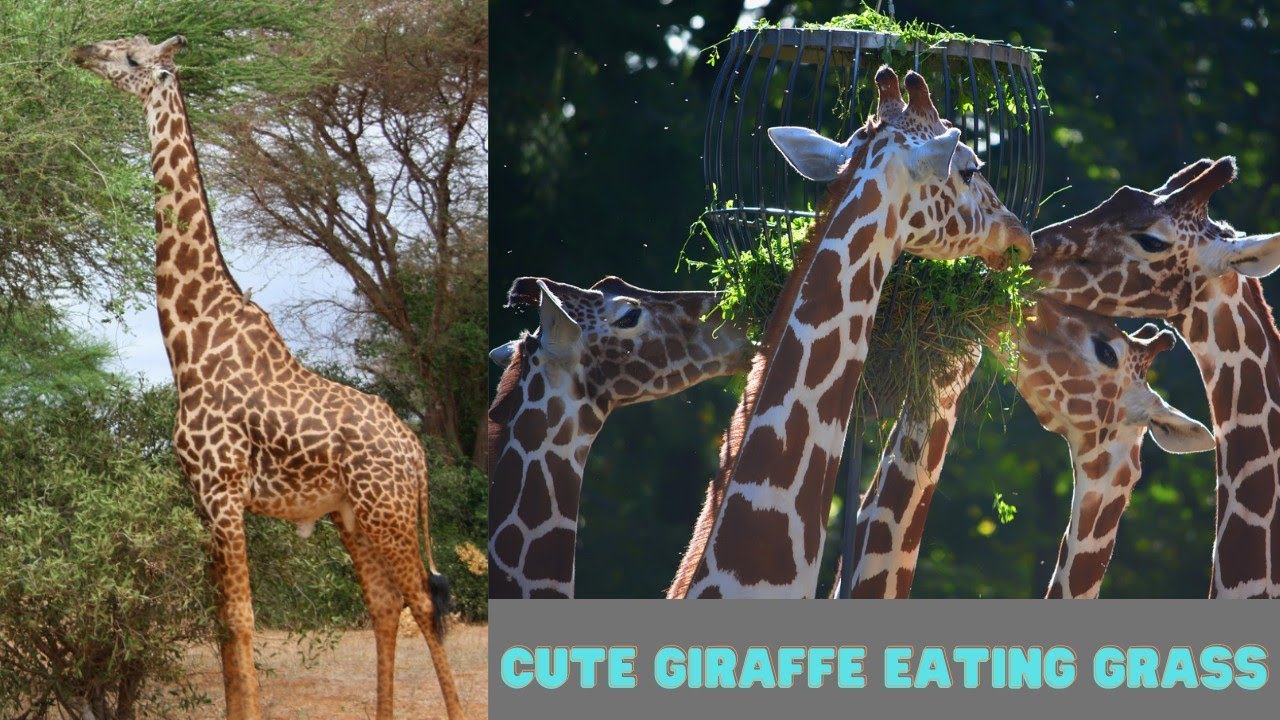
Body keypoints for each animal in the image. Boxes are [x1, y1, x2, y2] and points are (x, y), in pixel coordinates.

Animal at [72, 36, 464, 719]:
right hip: (352, 516)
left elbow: (242, 618)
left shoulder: (224, 489)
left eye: (131, 59)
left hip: (386, 512)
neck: (188, 336)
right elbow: (223, 623)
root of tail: (416, 452)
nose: (82, 50)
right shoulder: (202, 496)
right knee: (385, 605)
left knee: (424, 603)